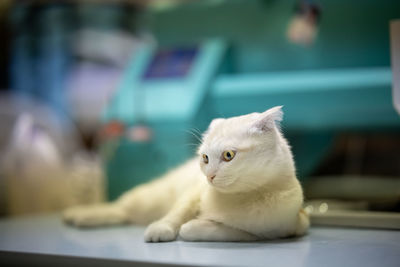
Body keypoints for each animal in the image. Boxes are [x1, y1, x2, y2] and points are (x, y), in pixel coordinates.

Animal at [65, 107, 310, 243]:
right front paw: (162, 228)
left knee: (123, 213)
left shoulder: (290, 226)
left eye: (228, 155)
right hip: (150, 197)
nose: (209, 177)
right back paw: (79, 214)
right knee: (120, 207)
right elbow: (178, 212)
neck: (239, 197)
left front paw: (193, 227)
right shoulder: (192, 195)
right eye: (205, 158)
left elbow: (228, 231)